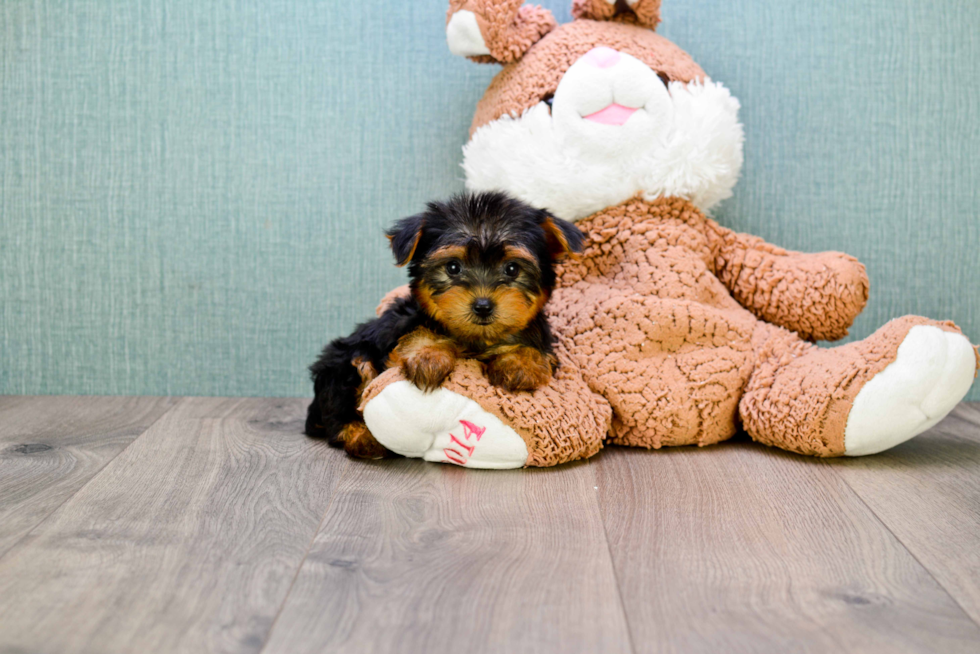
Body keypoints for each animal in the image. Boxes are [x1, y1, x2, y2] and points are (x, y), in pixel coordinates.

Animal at [306, 192, 580, 462]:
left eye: (512, 268)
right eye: (453, 267)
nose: (483, 306)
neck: (477, 338)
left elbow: (534, 351)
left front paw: (520, 364)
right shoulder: (399, 335)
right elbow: (420, 334)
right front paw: (428, 357)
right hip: (341, 366)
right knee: (340, 405)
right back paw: (362, 433)